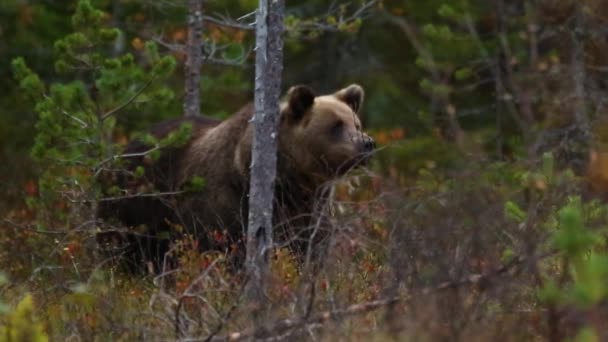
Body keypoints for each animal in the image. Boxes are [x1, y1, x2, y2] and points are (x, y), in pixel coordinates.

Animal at [98, 83, 376, 272]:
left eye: (356, 123)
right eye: (336, 126)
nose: (367, 143)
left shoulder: (312, 214)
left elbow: (308, 254)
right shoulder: (226, 209)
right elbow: (227, 254)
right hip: (135, 206)